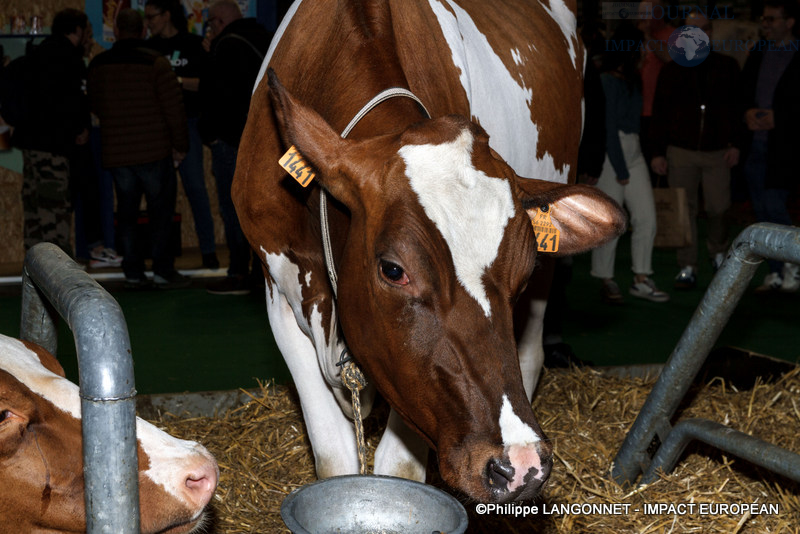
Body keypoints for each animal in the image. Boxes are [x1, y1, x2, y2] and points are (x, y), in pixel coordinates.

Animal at [231, 0, 624, 504]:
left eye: (520, 273)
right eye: (393, 269)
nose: (520, 465)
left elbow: (398, 471)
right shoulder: (279, 292)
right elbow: (334, 460)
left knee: (533, 353)